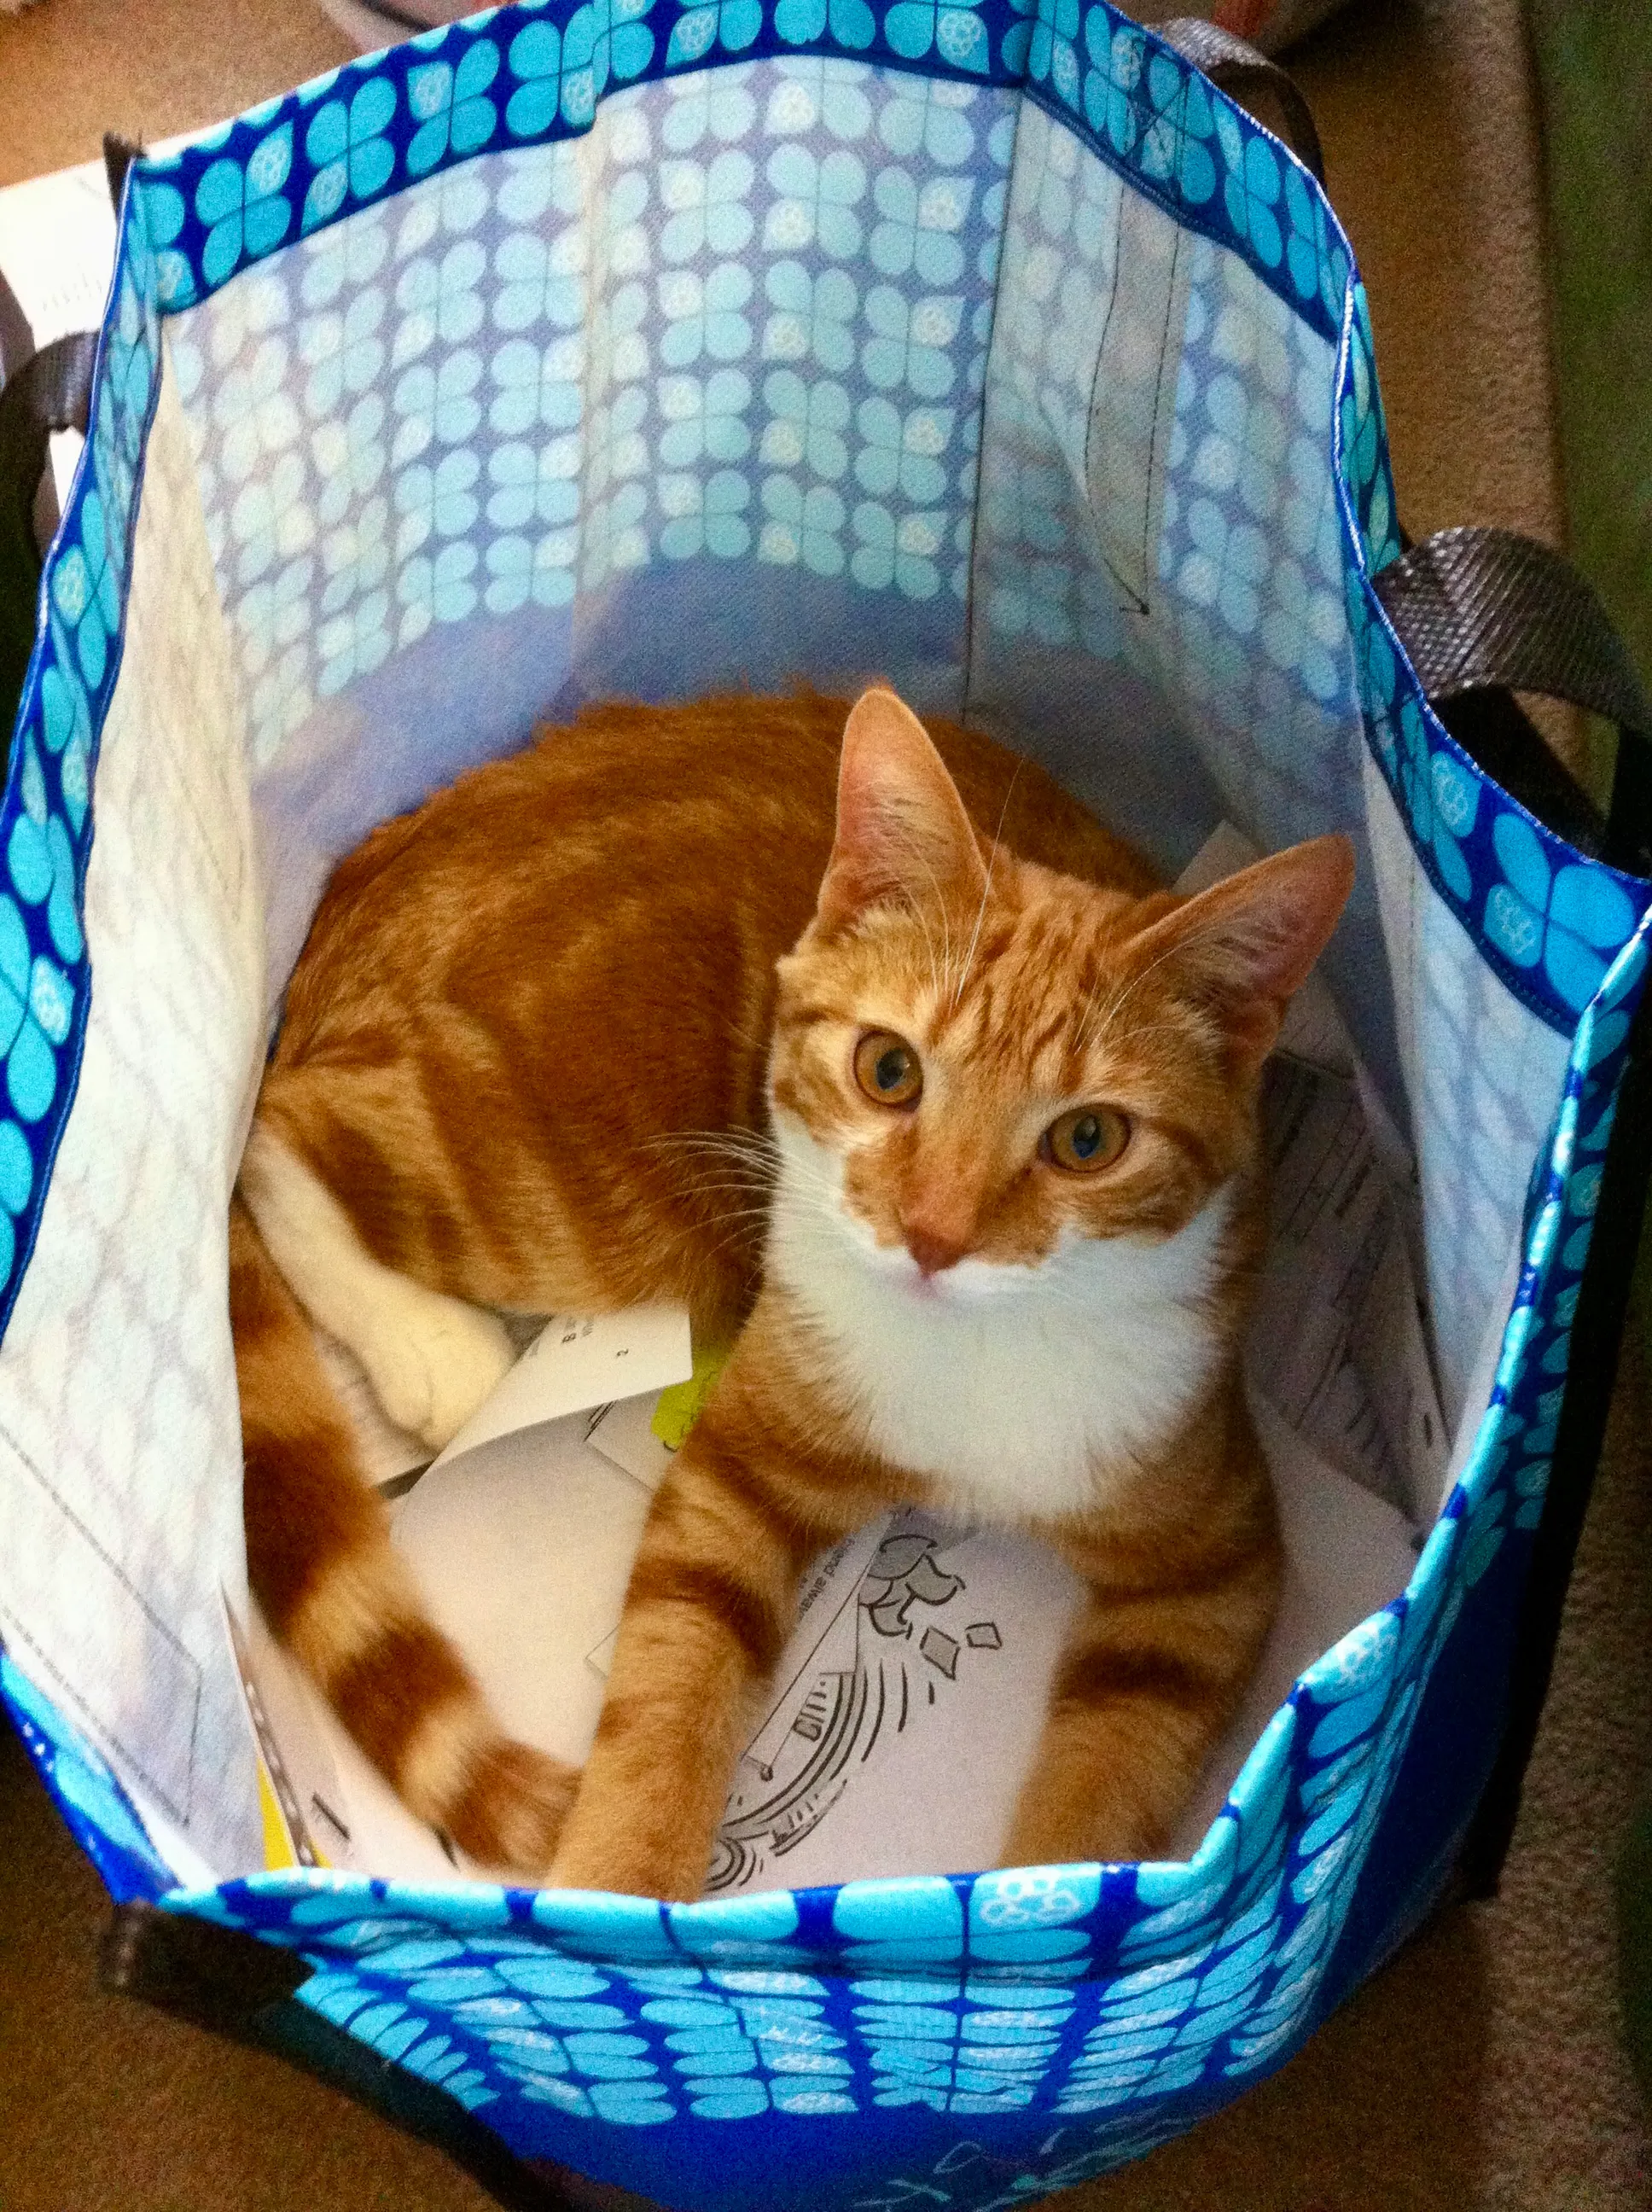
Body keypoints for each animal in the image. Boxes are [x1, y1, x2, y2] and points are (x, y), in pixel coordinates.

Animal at [232, 681, 1353, 1893]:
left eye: (1088, 1139)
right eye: (888, 1070)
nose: (932, 1232)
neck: (972, 1352)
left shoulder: (1211, 1569)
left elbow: (1108, 1786)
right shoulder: (737, 1467)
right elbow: (668, 1696)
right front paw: (618, 1889)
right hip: (578, 1188)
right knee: (264, 1135)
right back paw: (430, 1345)